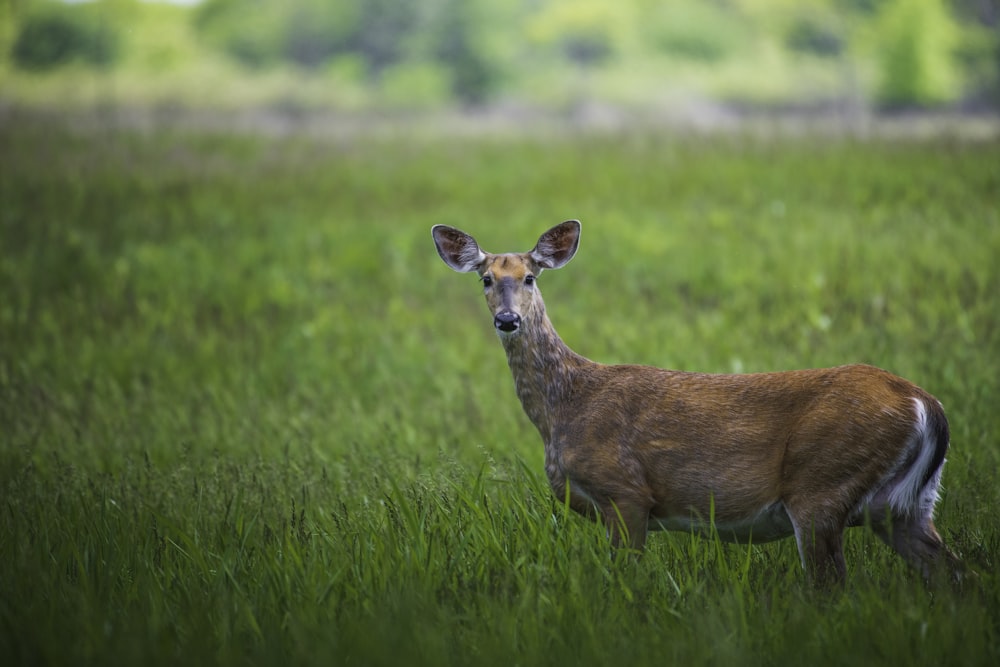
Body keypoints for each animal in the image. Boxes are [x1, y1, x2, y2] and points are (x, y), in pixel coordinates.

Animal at [434, 220, 964, 584]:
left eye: (530, 276)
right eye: (485, 279)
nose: (507, 320)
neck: (566, 408)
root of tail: (924, 402)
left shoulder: (626, 493)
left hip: (823, 485)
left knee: (832, 585)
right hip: (906, 506)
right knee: (956, 573)